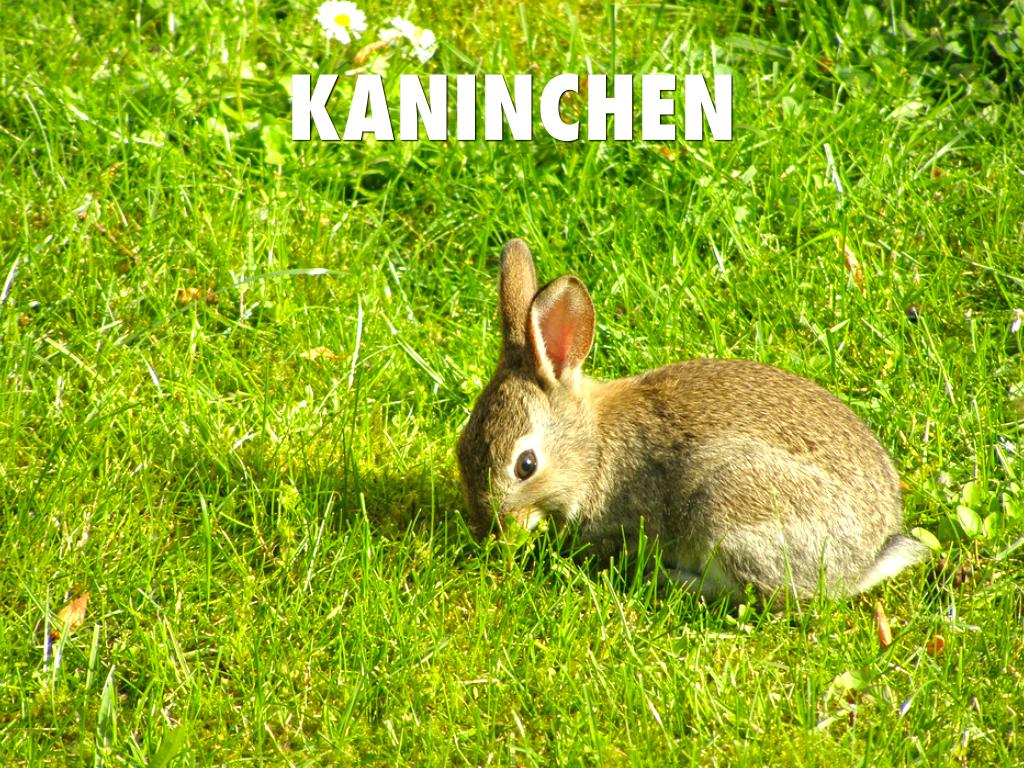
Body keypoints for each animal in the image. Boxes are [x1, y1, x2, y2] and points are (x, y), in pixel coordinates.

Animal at [456, 239, 929, 603]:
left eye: (526, 465)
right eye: (461, 448)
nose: (491, 533)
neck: (593, 447)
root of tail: (863, 561)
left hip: (730, 507)